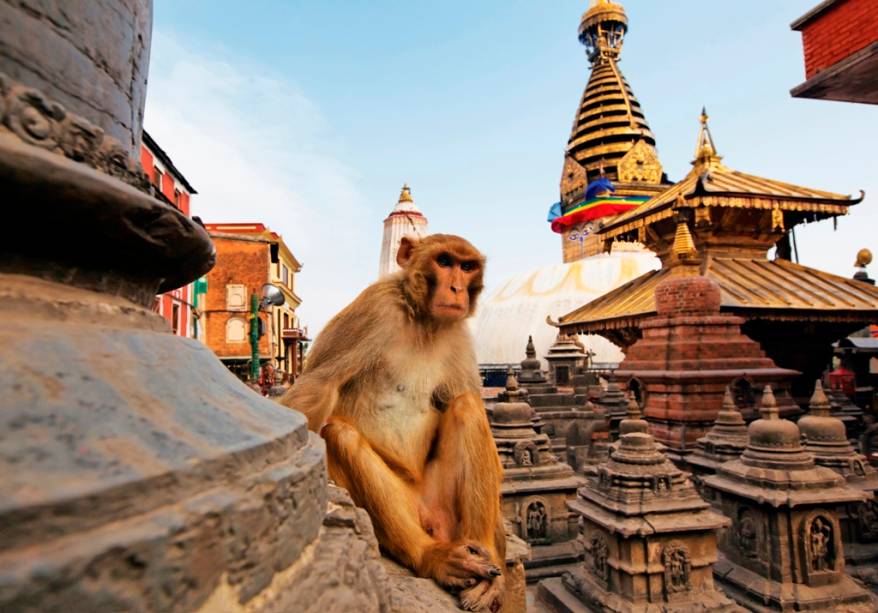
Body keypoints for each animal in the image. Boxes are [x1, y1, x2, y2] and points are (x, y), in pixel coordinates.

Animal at [282, 233, 508, 608]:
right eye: (444, 262)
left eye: (466, 266)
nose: (457, 289)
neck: (423, 321)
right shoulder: (374, 309)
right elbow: (318, 386)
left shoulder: (459, 334)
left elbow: (462, 397)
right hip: (406, 506)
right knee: (339, 435)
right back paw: (431, 556)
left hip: (444, 503)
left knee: (466, 405)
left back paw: (484, 553)